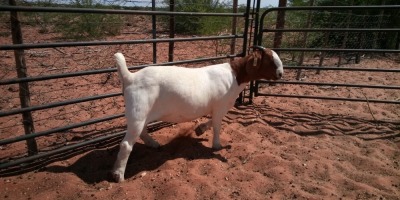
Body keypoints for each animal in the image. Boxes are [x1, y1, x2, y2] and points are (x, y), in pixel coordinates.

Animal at [111, 46, 282, 182]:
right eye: (270, 60)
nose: (281, 74)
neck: (235, 76)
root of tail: (130, 77)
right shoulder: (220, 106)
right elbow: (217, 125)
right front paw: (217, 145)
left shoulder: (217, 108)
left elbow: (212, 121)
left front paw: (200, 130)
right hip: (138, 112)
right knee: (126, 144)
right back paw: (118, 175)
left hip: (143, 114)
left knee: (143, 132)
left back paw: (153, 144)